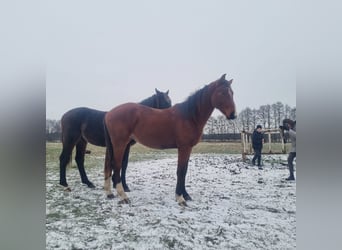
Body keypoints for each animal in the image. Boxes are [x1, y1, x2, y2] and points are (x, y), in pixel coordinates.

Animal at [104, 74, 236, 205]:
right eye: (222, 93)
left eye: (232, 93)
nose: (233, 115)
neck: (189, 116)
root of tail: (109, 114)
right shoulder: (184, 148)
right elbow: (181, 171)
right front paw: (180, 198)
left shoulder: (188, 148)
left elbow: (184, 171)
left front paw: (186, 195)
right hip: (120, 144)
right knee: (116, 166)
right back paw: (123, 196)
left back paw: (110, 193)